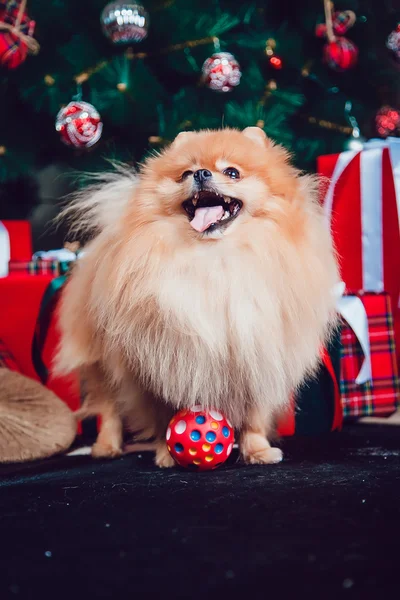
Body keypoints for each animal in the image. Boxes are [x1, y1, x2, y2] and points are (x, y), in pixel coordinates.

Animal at [55, 127, 338, 468]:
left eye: (232, 172)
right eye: (186, 174)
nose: (202, 174)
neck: (213, 259)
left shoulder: (256, 355)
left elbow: (255, 417)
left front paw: (257, 451)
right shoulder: (162, 361)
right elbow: (164, 415)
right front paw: (167, 455)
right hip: (103, 359)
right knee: (109, 408)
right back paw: (106, 446)